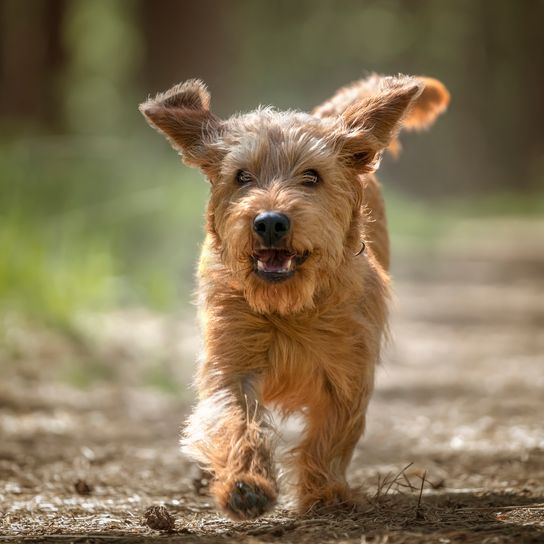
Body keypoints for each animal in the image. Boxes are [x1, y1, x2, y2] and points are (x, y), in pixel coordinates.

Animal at [140, 72, 450, 520]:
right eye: (242, 176)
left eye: (312, 177)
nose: (270, 222)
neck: (287, 308)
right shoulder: (232, 363)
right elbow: (233, 420)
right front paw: (245, 485)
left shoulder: (348, 371)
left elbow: (331, 434)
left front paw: (324, 494)